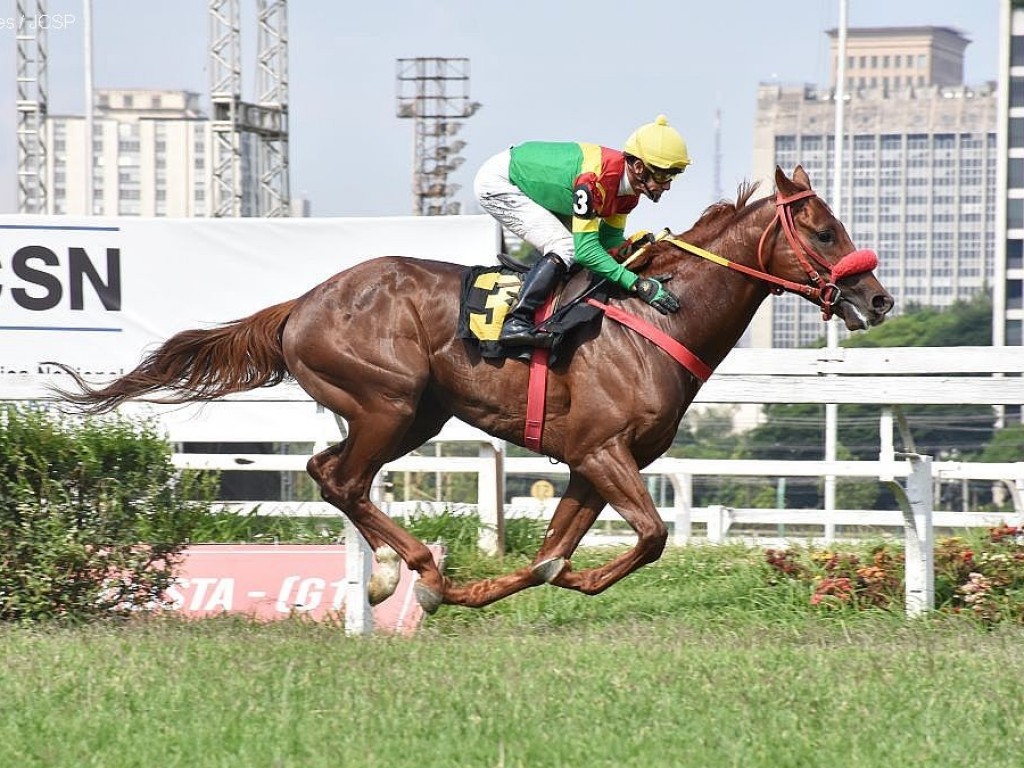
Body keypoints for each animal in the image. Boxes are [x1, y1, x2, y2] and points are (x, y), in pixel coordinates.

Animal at [51, 166, 892, 614]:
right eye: (824, 231)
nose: (878, 300)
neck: (655, 316)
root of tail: (303, 302)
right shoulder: (604, 451)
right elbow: (650, 536)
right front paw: (465, 588)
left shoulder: (589, 465)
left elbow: (552, 554)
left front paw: (495, 589)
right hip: (388, 401)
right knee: (341, 477)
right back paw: (414, 568)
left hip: (417, 414)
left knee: (331, 473)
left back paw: (393, 574)